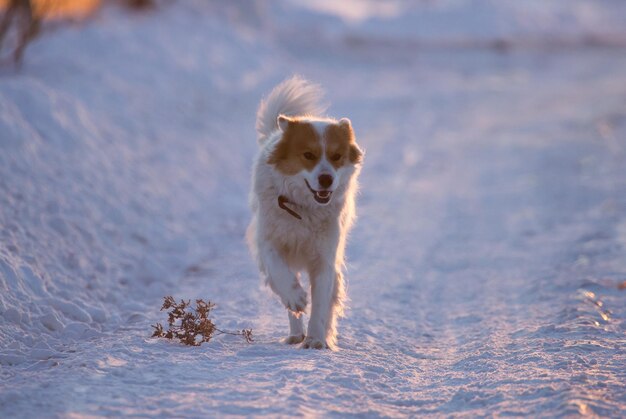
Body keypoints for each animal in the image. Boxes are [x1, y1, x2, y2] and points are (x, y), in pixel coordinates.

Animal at [244, 76, 360, 352]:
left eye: (337, 156)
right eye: (308, 155)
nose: (327, 179)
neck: (303, 209)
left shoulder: (325, 259)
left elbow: (320, 304)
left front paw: (316, 339)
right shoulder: (268, 242)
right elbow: (280, 274)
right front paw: (296, 298)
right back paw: (295, 332)